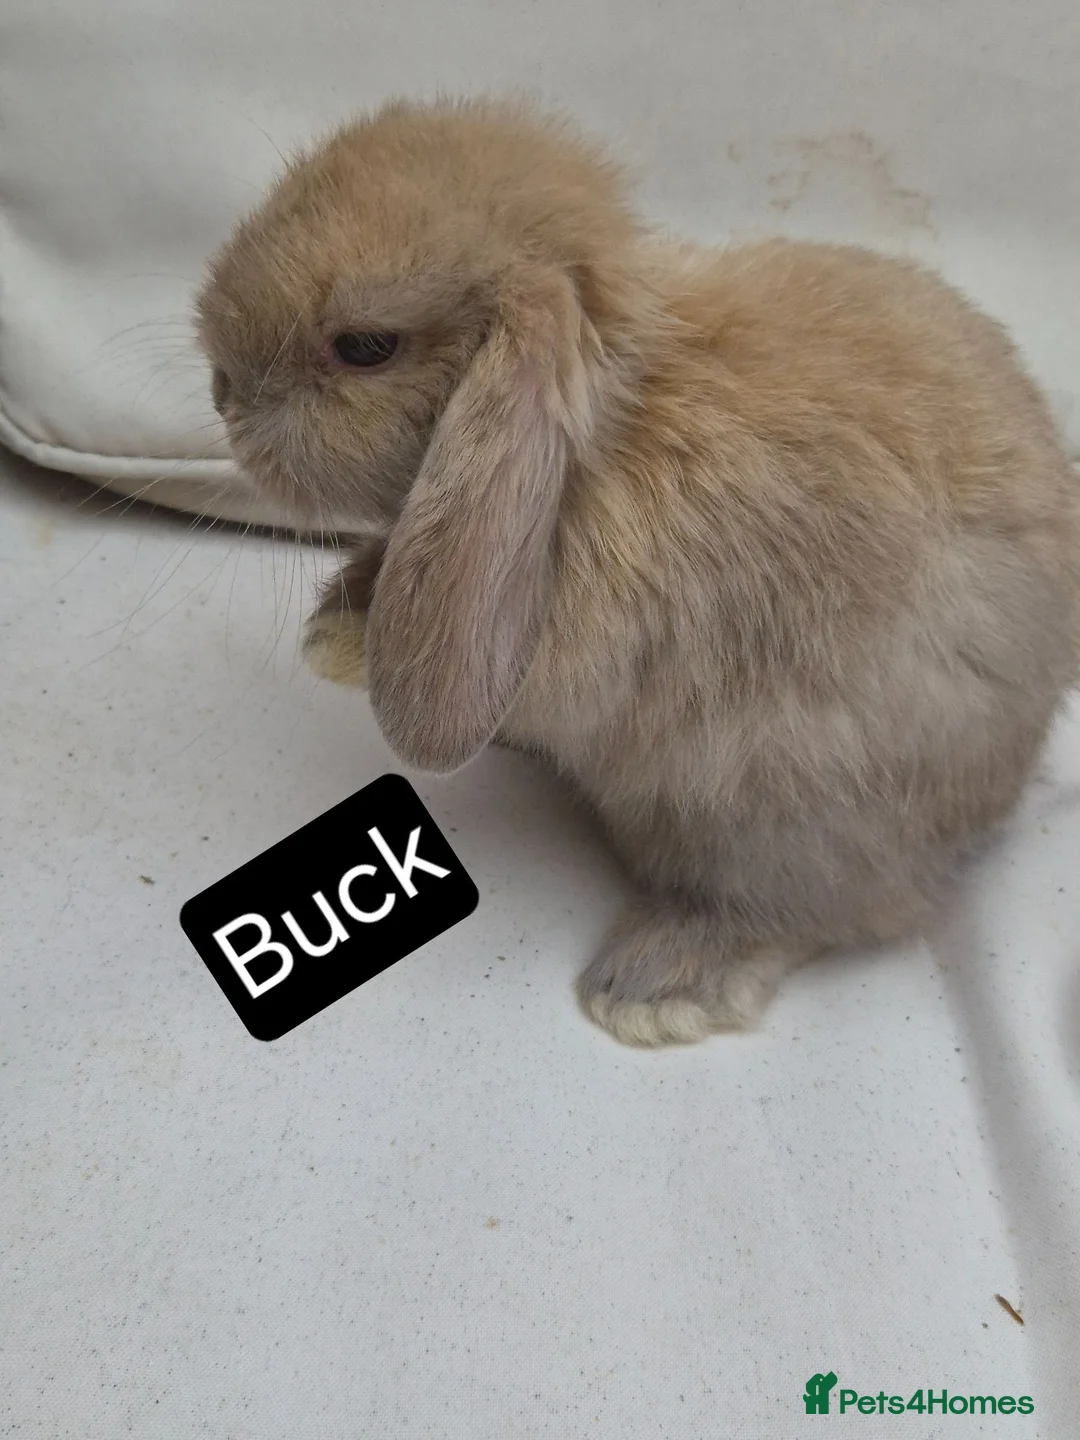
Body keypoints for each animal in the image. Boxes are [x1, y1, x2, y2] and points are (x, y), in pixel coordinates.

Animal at [195, 97, 1080, 1047]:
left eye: (364, 346)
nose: (222, 393)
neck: (599, 442)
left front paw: (343, 648)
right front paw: (332, 624)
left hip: (787, 814)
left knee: (820, 911)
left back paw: (655, 986)